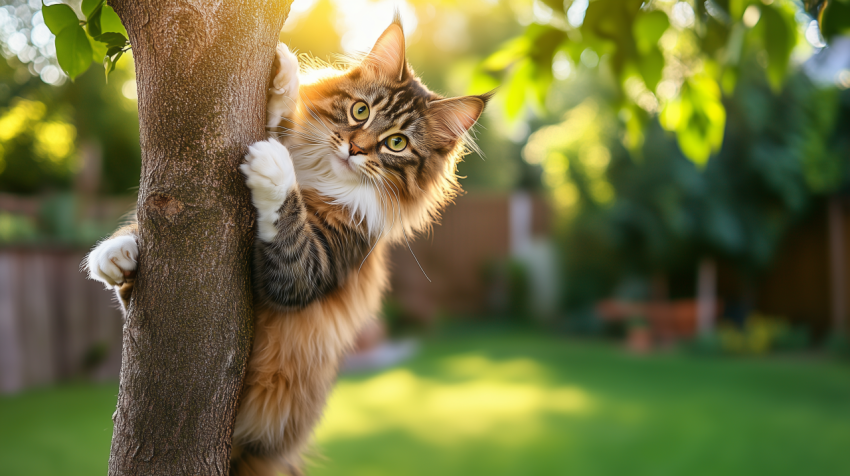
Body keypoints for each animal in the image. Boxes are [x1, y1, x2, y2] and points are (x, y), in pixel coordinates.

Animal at [86, 16, 490, 476]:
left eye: (397, 143)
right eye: (361, 110)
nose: (355, 148)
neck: (322, 175)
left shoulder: (315, 267)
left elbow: (286, 217)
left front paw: (274, 166)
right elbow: (280, 122)